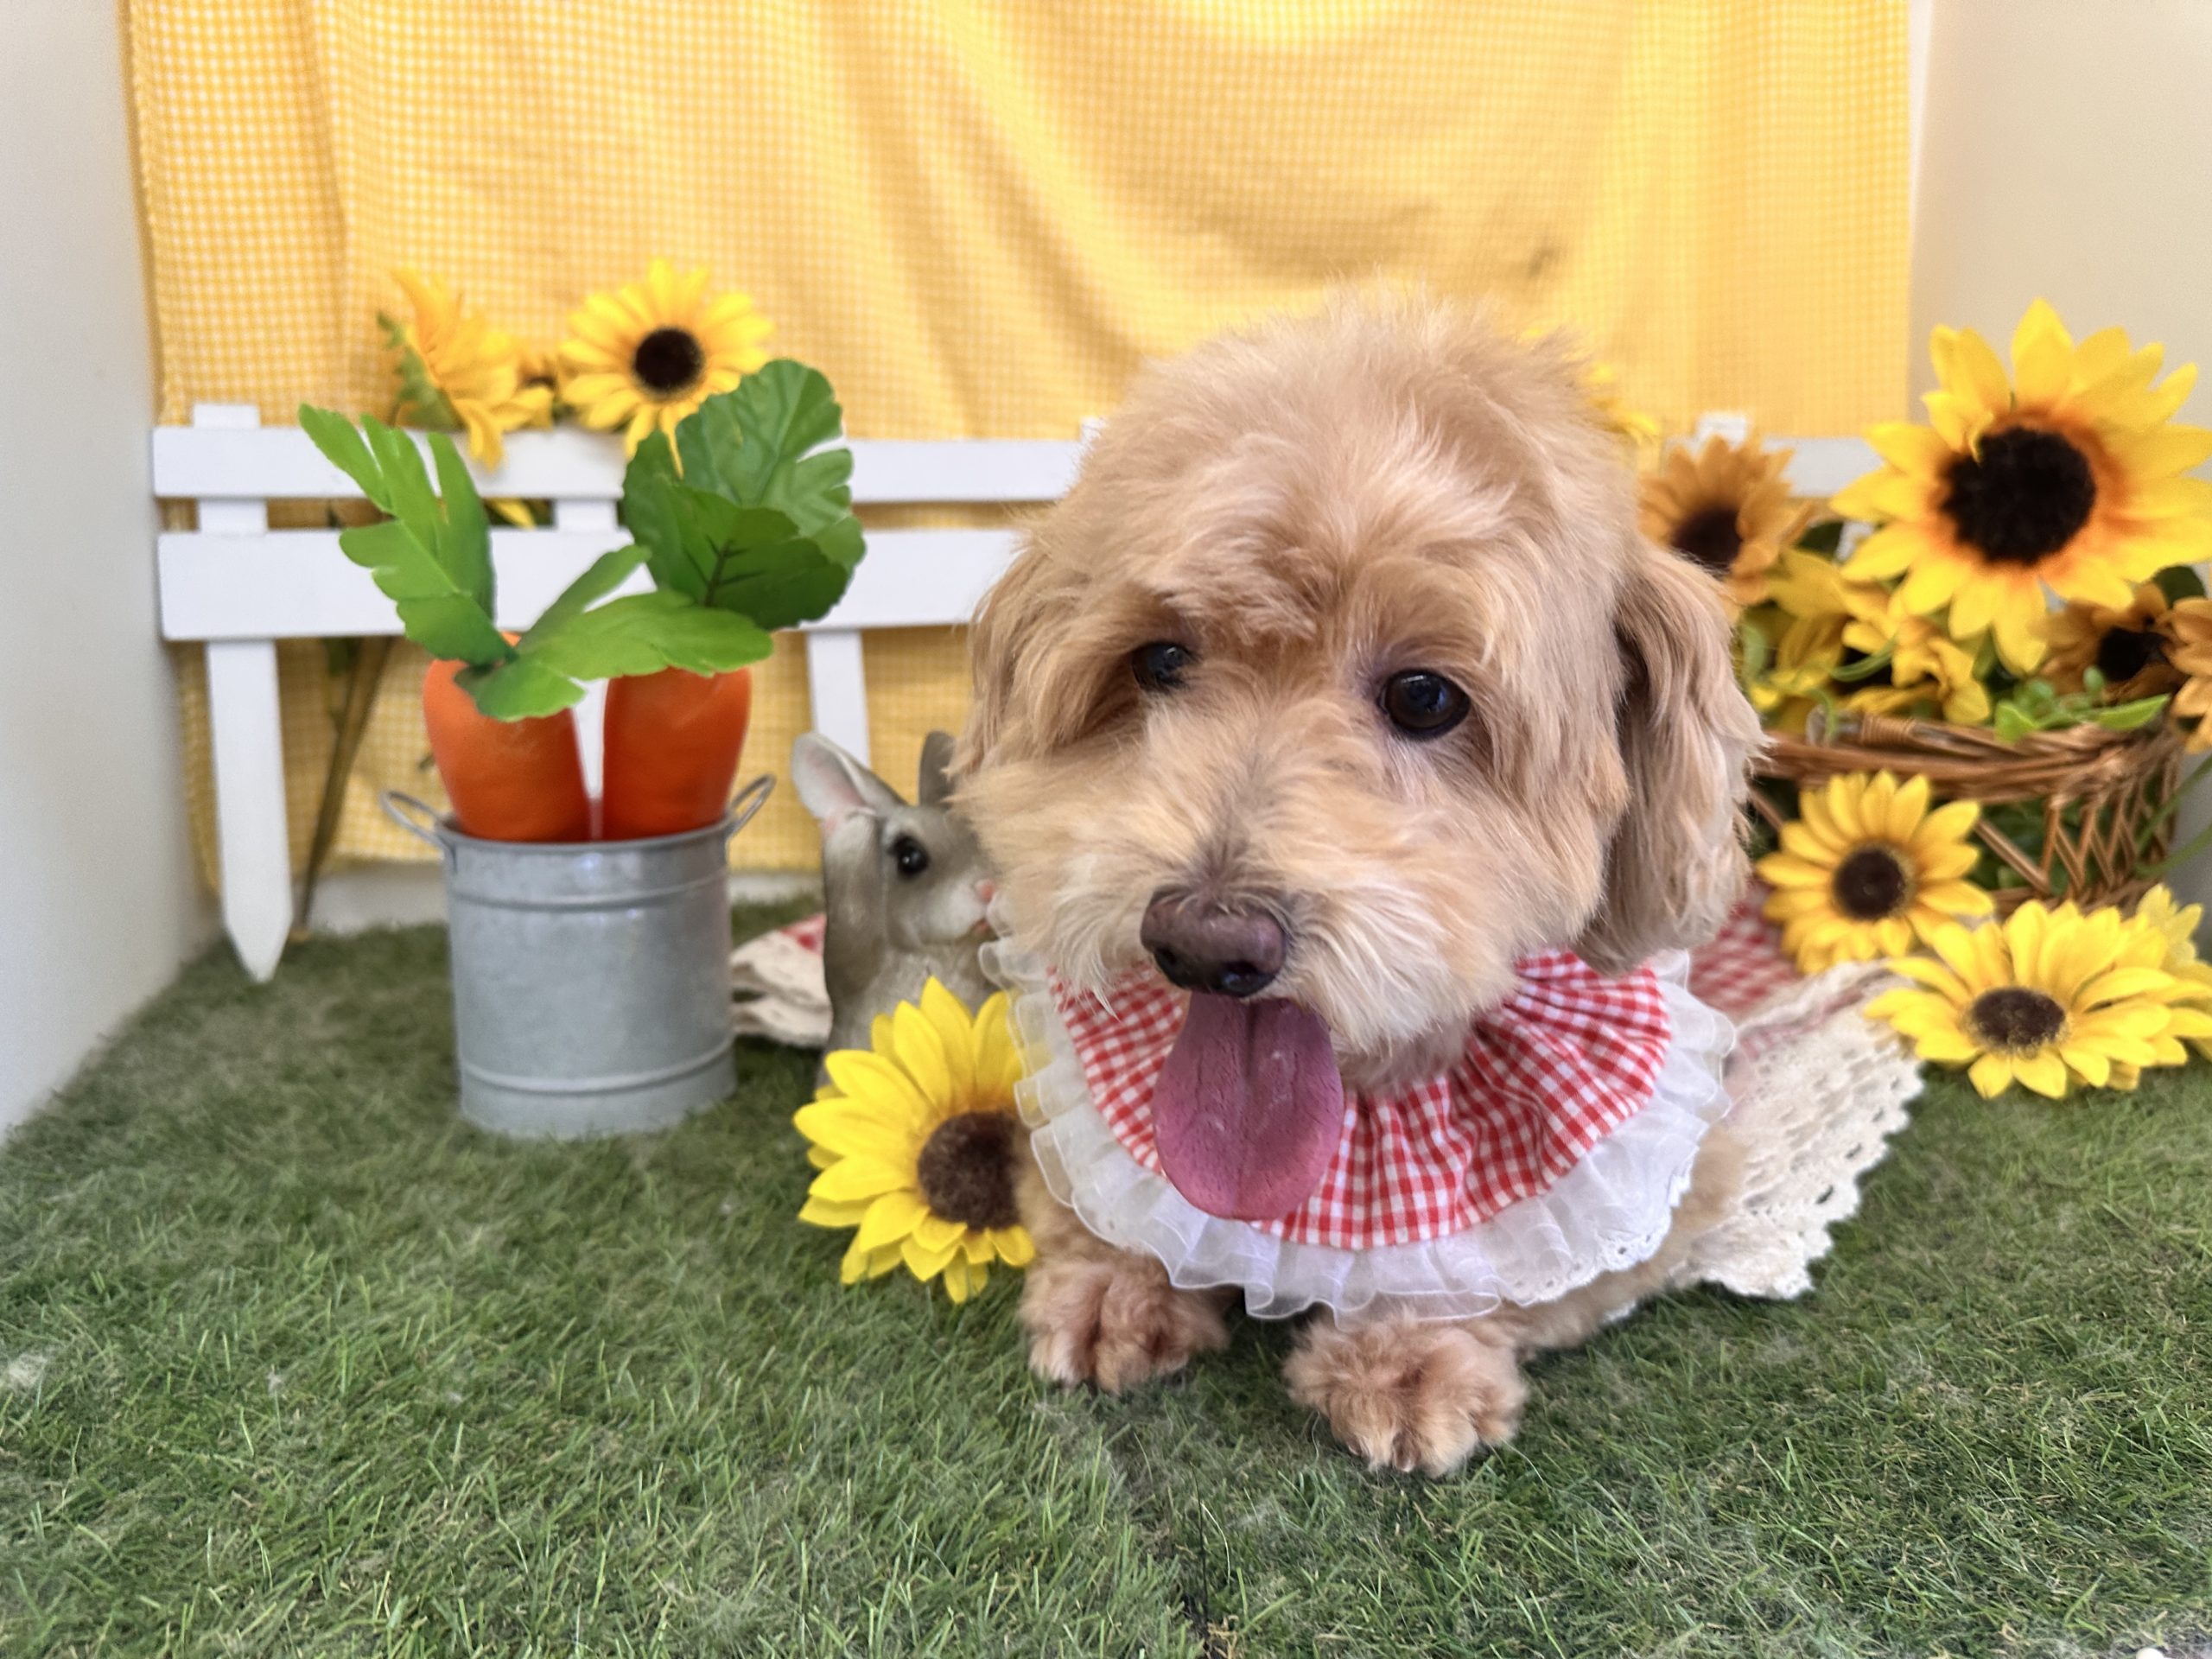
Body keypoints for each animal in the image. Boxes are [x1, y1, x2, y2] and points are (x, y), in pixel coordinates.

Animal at [955, 294, 1763, 1475]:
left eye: (1426, 697)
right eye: (1159, 662)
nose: (1204, 941)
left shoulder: (1674, 1179)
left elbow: (1494, 1255)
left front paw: (1408, 1352)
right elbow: (1098, 1184)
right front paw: (1115, 1282)